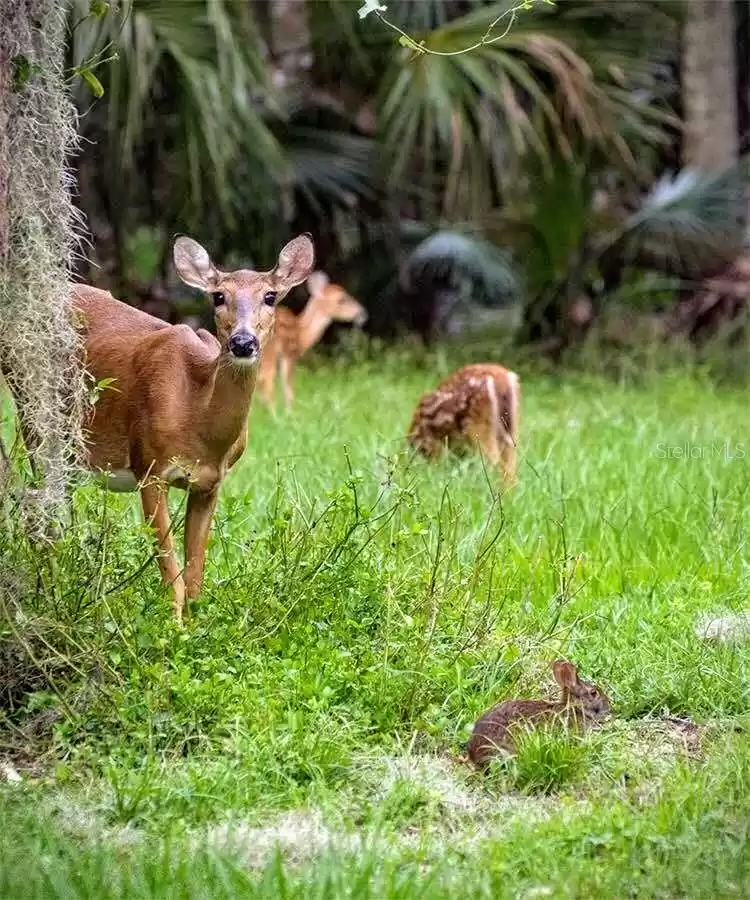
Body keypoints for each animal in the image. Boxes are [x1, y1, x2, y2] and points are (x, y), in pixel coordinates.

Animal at [64, 236, 312, 624]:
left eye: (271, 296)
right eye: (218, 296)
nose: (243, 343)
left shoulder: (210, 483)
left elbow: (195, 576)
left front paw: (195, 628)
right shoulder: (149, 468)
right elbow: (172, 574)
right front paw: (173, 629)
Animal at [258, 268, 368, 408]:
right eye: (341, 299)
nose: (362, 313)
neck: (301, 332)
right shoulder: (290, 354)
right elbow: (288, 388)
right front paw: (289, 411)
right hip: (269, 352)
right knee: (267, 382)